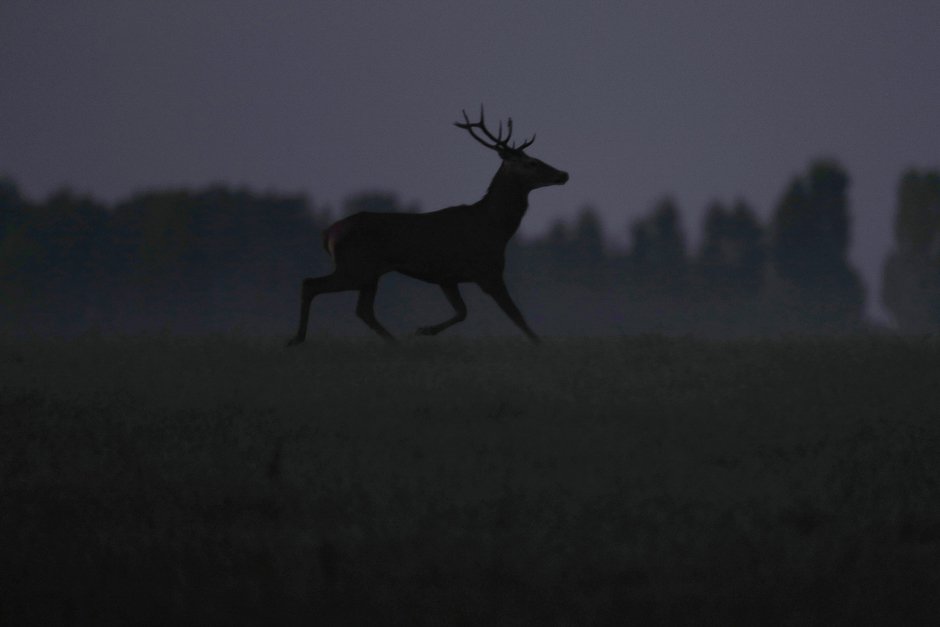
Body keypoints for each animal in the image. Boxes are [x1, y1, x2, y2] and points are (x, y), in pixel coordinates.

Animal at [284, 105, 564, 346]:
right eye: (532, 163)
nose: (564, 174)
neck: (496, 229)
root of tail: (328, 233)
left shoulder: (447, 276)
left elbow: (463, 312)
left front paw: (423, 330)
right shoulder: (488, 271)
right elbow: (517, 316)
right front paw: (540, 345)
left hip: (369, 272)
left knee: (363, 310)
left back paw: (395, 343)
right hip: (356, 266)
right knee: (311, 284)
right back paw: (297, 339)